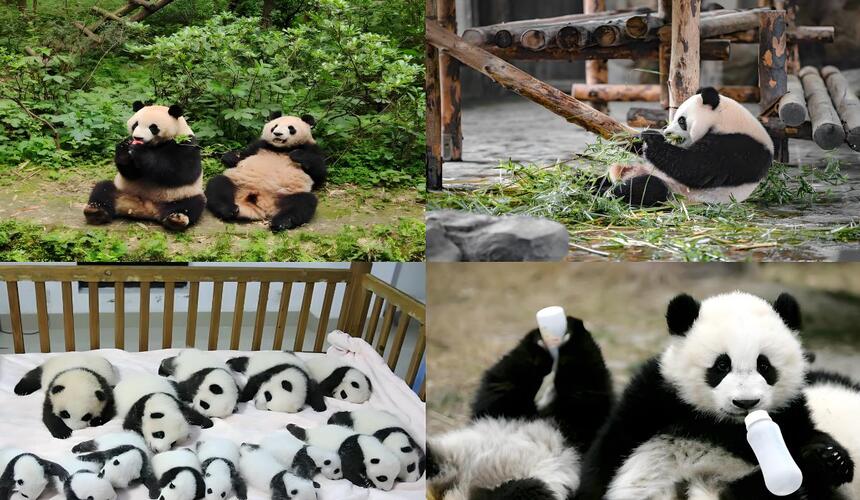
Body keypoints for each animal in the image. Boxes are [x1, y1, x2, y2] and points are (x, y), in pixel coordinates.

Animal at [85, 102, 205, 231]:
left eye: (153, 127)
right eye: (135, 124)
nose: (137, 138)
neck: (154, 145)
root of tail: (146, 209)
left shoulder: (186, 143)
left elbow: (181, 172)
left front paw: (140, 151)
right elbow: (131, 173)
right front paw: (124, 148)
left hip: (180, 195)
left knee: (192, 204)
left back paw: (176, 219)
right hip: (122, 190)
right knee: (103, 188)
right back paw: (95, 211)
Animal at [427, 316, 613, 500]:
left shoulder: (577, 431)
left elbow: (586, 386)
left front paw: (571, 332)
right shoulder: (505, 412)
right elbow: (505, 380)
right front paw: (540, 340)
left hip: (526, 482)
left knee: (522, 489)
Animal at [574, 291, 855, 500]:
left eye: (764, 365)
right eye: (722, 365)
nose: (745, 403)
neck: (725, 426)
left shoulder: (789, 411)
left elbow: (805, 438)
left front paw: (831, 457)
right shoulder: (654, 398)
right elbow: (606, 456)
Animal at [602, 87, 774, 206]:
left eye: (681, 120)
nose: (667, 132)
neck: (727, 120)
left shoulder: (738, 147)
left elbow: (694, 167)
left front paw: (652, 140)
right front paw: (638, 139)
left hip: (679, 193)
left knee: (647, 188)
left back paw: (603, 194)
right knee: (606, 179)